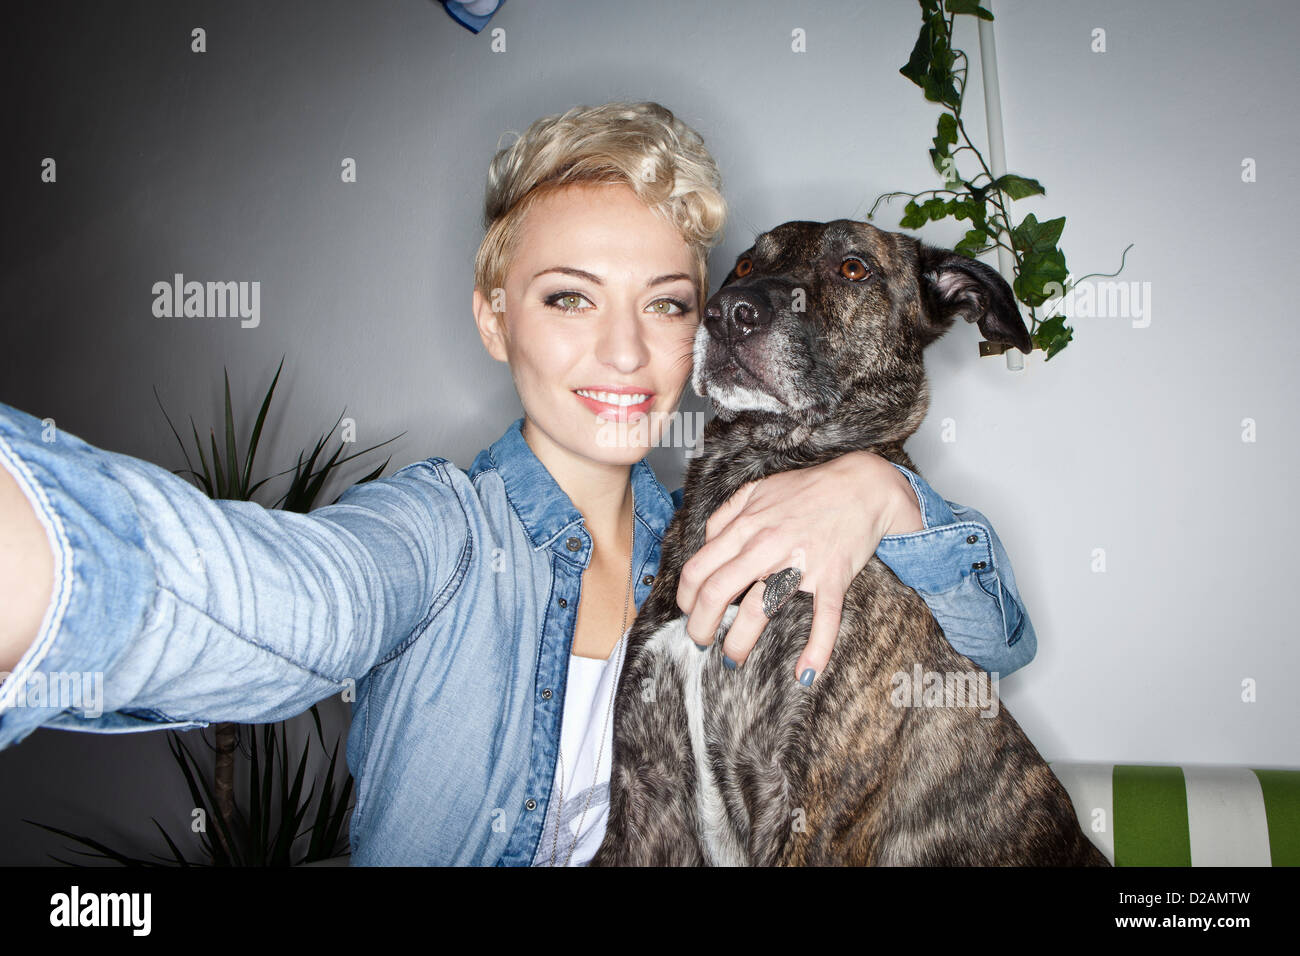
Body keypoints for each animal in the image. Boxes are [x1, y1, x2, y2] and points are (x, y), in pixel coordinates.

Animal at [590, 218, 1107, 868]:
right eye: (744, 265)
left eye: (854, 269)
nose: (729, 311)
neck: (753, 459)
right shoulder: (643, 798)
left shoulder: (808, 816)